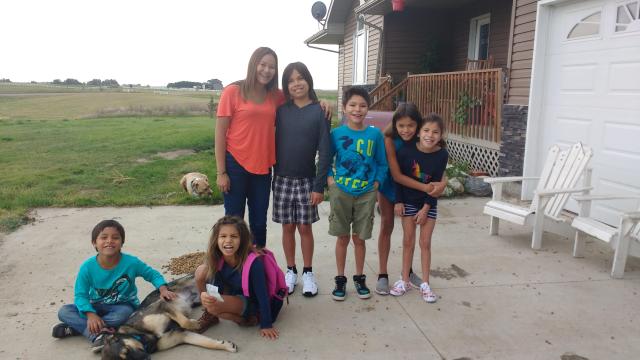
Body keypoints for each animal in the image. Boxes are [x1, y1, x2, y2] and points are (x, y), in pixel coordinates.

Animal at [100, 274, 238, 358]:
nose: (147, 358)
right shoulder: (182, 335)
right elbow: (206, 342)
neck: (141, 333)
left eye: (126, 351)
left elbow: (185, 321)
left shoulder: (163, 304)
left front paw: (195, 324)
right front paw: (225, 345)